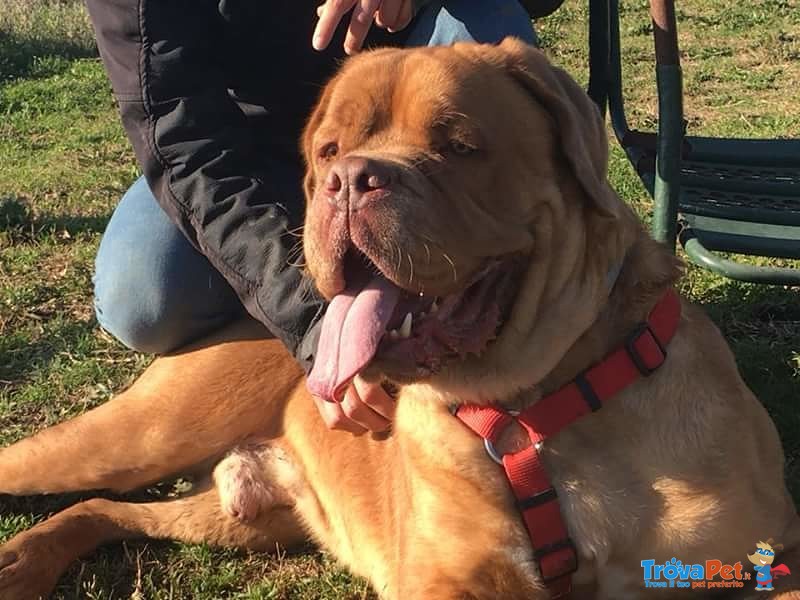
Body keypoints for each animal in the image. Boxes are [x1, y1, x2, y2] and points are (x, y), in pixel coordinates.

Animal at [1, 38, 800, 600]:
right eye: (327, 149)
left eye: (459, 144)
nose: (348, 179)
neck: (534, 407)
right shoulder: (444, 578)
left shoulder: (764, 558)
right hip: (145, 433)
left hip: (241, 520)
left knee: (113, 510)